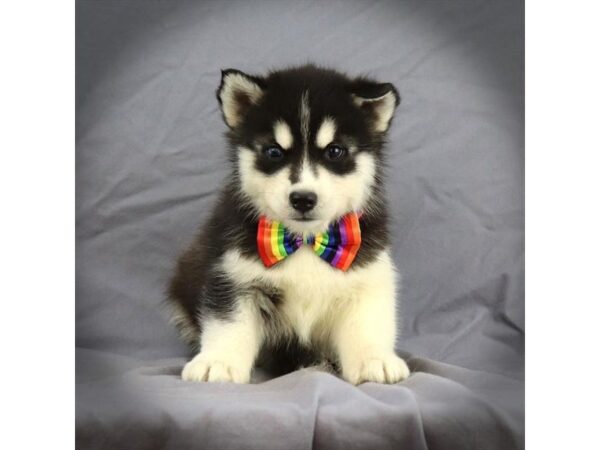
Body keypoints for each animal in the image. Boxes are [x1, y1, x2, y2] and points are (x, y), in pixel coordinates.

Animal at [169, 65, 412, 384]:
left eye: (335, 151)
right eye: (274, 152)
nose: (303, 199)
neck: (305, 239)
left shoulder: (368, 276)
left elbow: (367, 323)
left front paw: (375, 359)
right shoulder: (234, 275)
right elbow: (229, 322)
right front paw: (218, 362)